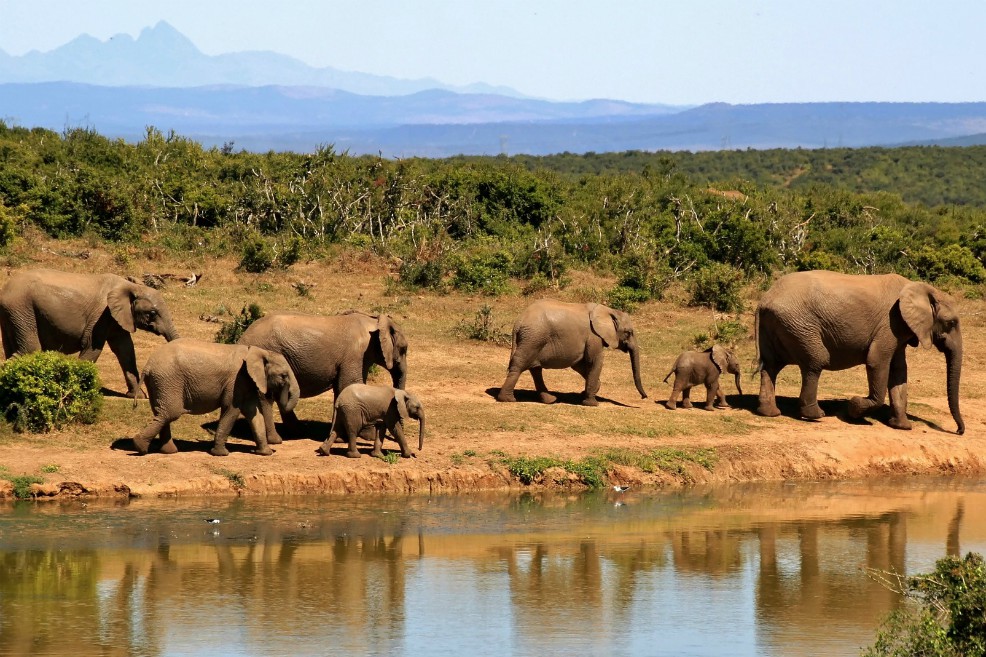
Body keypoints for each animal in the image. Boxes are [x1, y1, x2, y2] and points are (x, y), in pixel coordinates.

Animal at [0, 269, 179, 398]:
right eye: (152, 313)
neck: (130, 286)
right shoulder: (101, 315)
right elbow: (93, 347)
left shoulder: (117, 318)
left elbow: (125, 350)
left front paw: (138, 396)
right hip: (22, 310)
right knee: (29, 350)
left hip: (14, 315)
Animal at [130, 339, 300, 456]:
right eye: (284, 376)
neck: (259, 352)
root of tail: (148, 366)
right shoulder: (236, 380)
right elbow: (232, 409)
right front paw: (221, 454)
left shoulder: (246, 382)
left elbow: (253, 413)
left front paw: (265, 453)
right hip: (168, 380)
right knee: (170, 412)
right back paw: (140, 446)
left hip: (159, 382)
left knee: (161, 412)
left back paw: (168, 451)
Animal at [237, 310, 408, 441]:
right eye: (404, 349)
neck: (374, 321)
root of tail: (242, 338)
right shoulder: (355, 355)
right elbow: (349, 384)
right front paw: (368, 436)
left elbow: (342, 389)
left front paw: (341, 437)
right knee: (266, 396)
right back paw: (276, 439)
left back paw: (299, 431)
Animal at [496, 299, 647, 406]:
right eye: (628, 332)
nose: (644, 397)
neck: (608, 310)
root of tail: (518, 323)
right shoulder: (593, 336)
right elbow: (594, 361)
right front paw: (592, 403)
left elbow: (579, 364)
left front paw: (588, 391)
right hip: (533, 337)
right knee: (520, 365)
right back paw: (508, 399)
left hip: (533, 339)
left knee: (535, 369)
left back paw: (550, 400)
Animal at [755, 270, 964, 434]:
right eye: (951, 322)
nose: (958, 431)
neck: (922, 288)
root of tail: (765, 299)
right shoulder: (890, 324)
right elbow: (877, 361)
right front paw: (853, 408)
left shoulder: (899, 330)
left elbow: (899, 371)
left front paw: (902, 426)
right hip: (799, 325)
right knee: (815, 361)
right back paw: (815, 415)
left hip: (778, 325)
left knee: (771, 366)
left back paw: (770, 413)